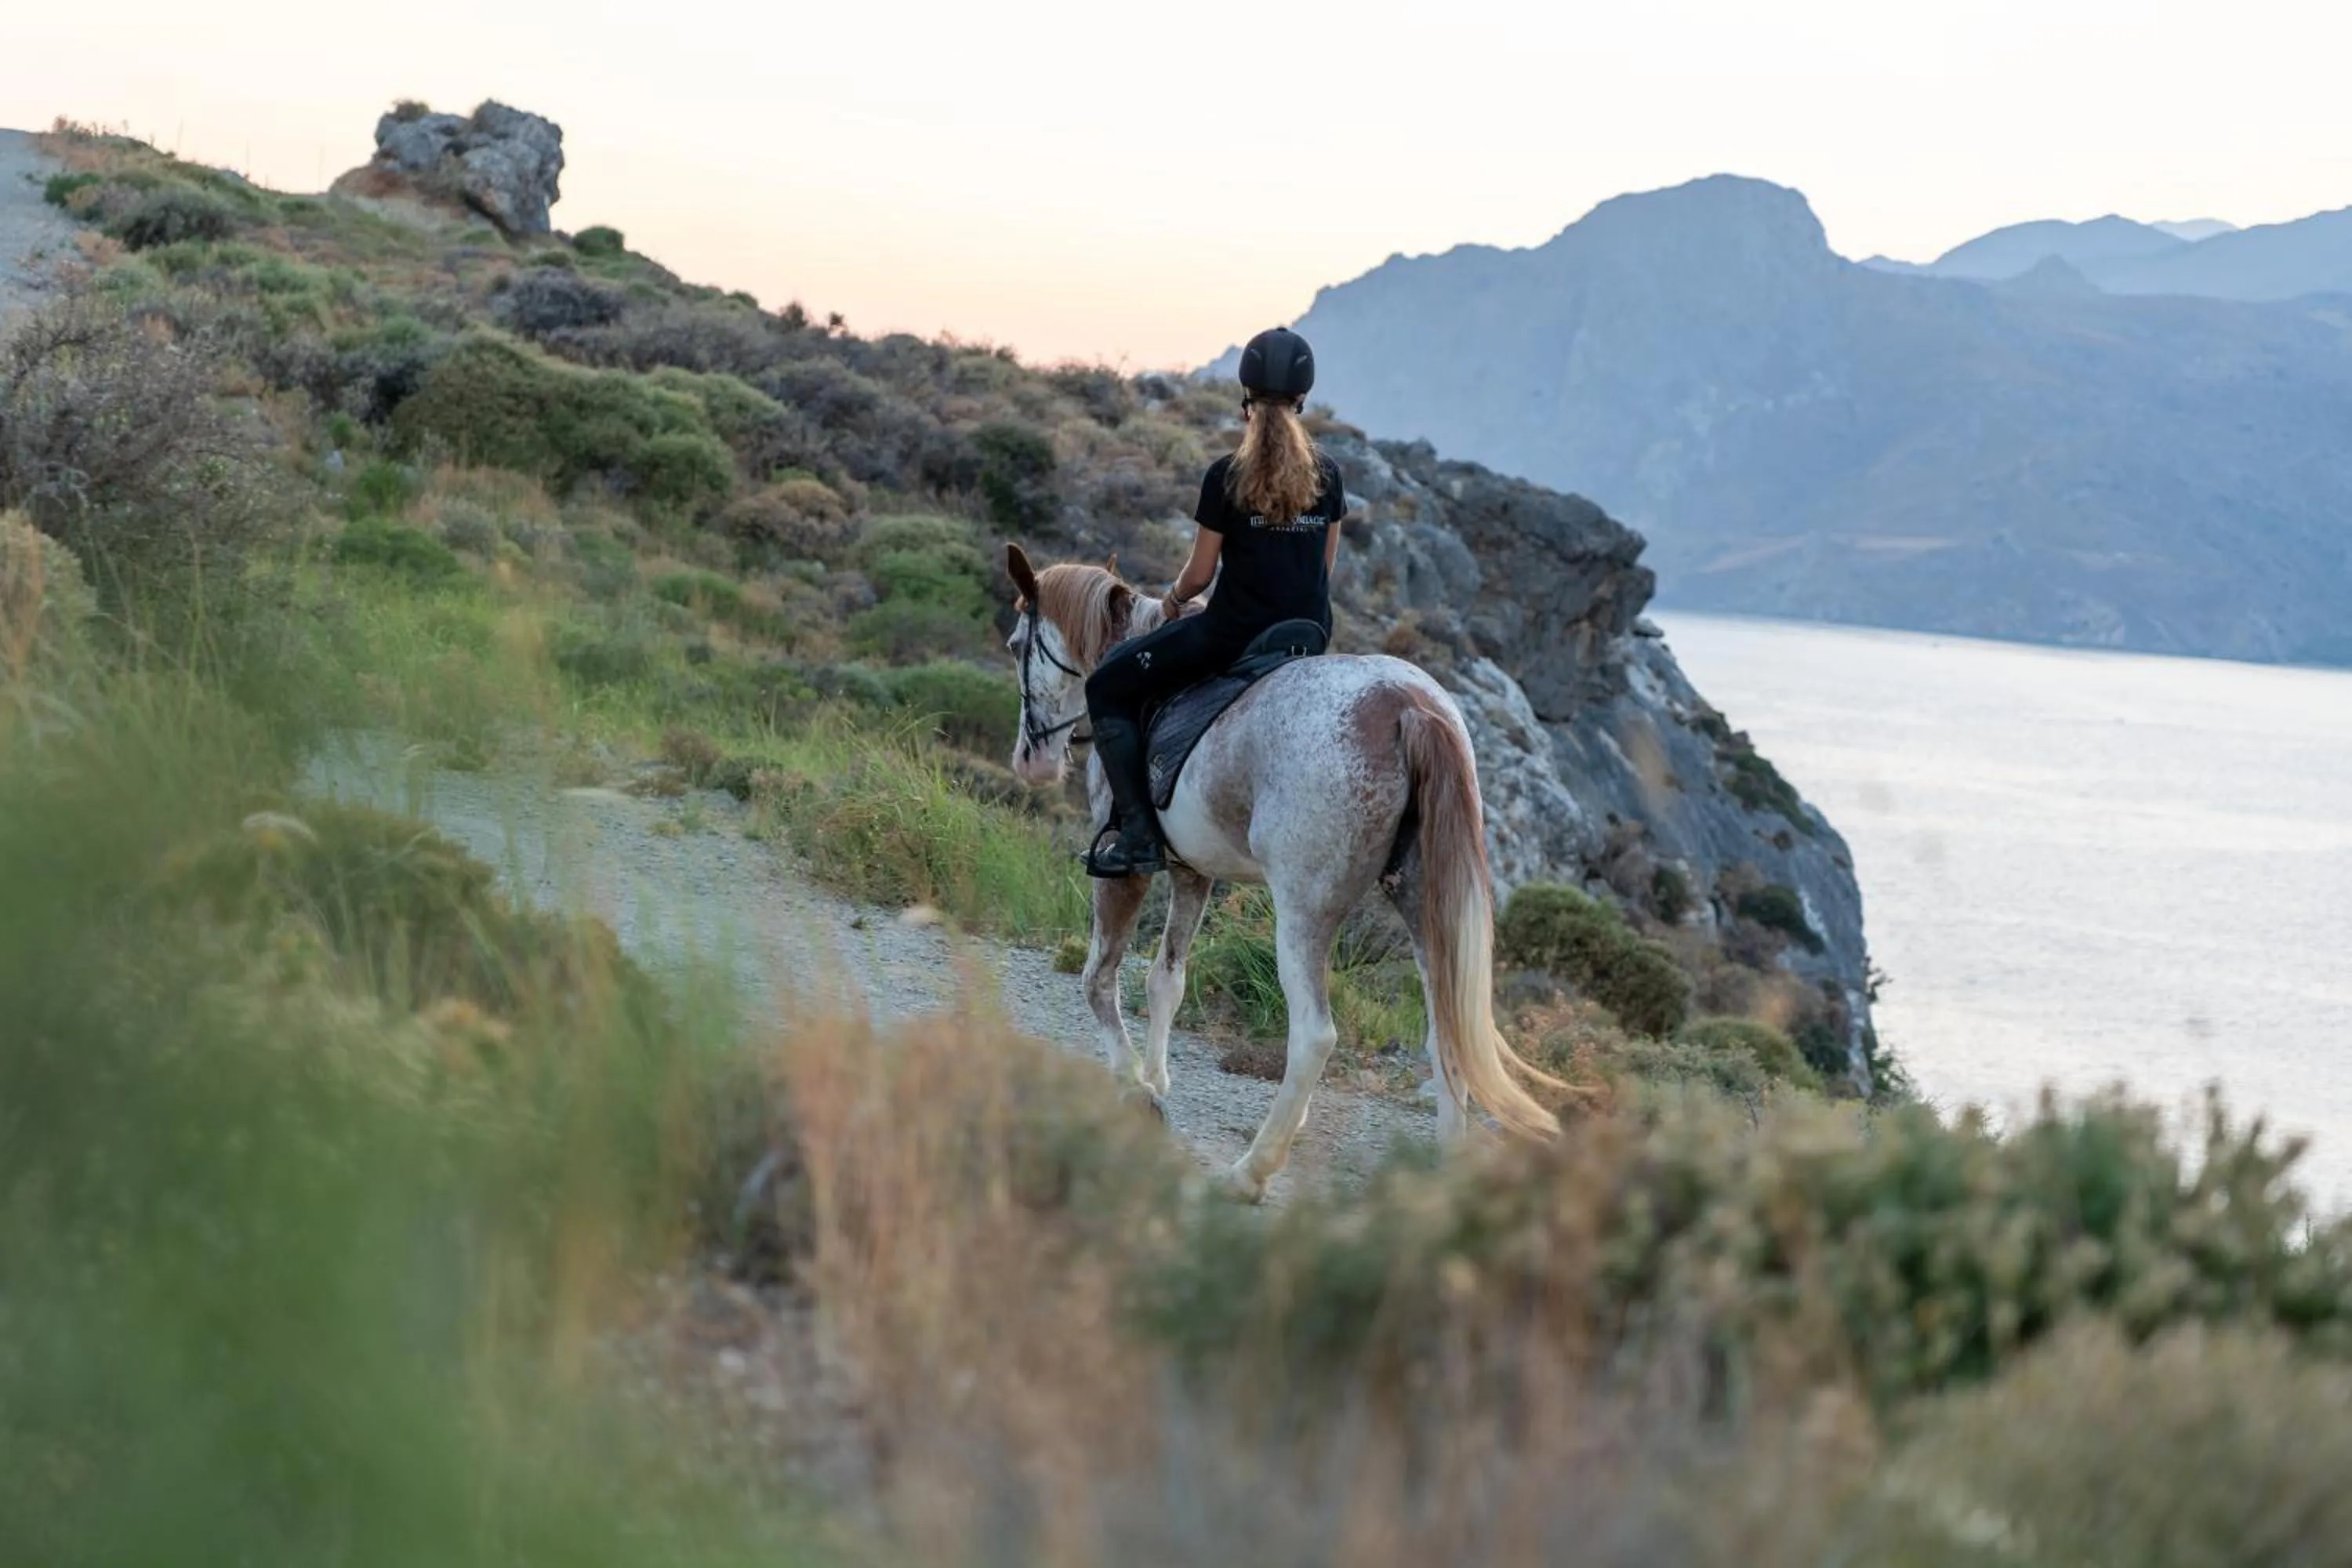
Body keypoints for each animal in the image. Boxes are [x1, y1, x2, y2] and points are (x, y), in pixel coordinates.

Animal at [1002, 543, 1560, 1202]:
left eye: (1016, 643)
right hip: (1426, 907)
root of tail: (1409, 707)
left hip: (1303, 913)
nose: (1031, 763)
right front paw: (1158, 1079)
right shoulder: (1193, 873)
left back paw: (1252, 1171)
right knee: (1445, 1030)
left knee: (1314, 1035)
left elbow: (1097, 978)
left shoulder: (1125, 872)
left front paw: (1134, 1087)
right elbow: (1167, 980)